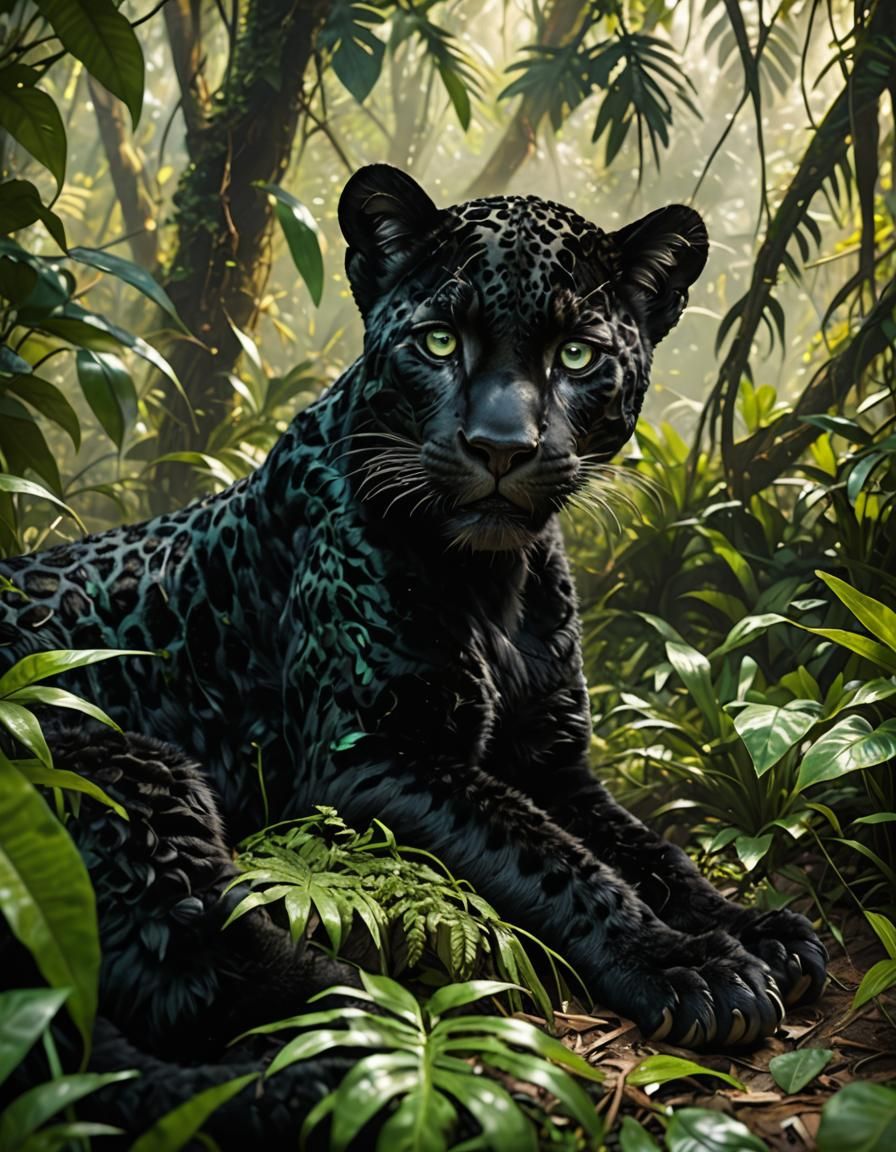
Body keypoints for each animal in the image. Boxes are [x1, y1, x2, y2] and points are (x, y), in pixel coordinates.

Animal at [0, 164, 826, 1140]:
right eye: (439, 342)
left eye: (577, 356)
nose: (501, 448)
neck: (495, 581)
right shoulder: (378, 755)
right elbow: (554, 857)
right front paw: (688, 964)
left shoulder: (551, 760)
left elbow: (651, 851)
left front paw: (756, 925)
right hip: (117, 769)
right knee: (184, 973)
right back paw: (386, 1064)